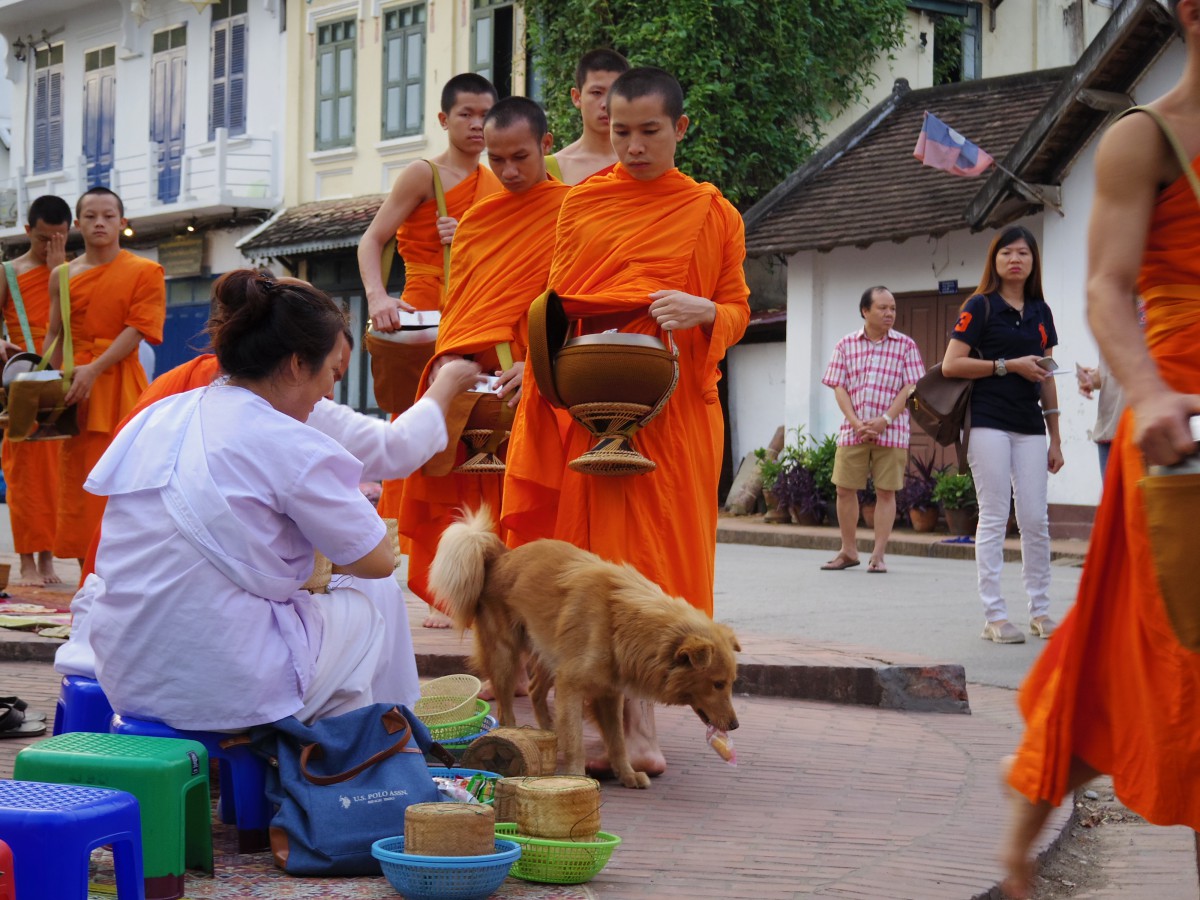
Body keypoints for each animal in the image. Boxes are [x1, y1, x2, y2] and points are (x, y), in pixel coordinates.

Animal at [427, 508, 734, 787]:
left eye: (730, 683)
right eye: (718, 684)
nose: (735, 725)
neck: (621, 621)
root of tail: (501, 556)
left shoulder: (609, 693)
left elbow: (617, 741)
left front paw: (627, 774)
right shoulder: (572, 685)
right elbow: (577, 740)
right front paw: (576, 775)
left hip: (549, 653)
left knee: (535, 691)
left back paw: (550, 733)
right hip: (506, 655)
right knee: (506, 708)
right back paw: (516, 735)